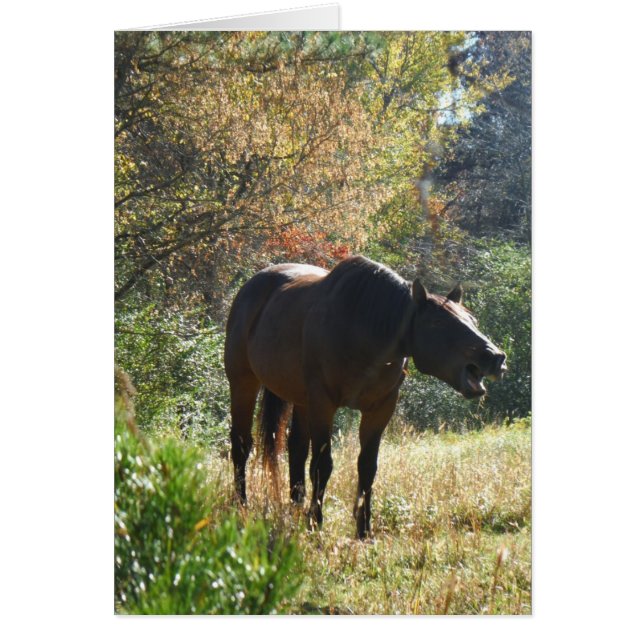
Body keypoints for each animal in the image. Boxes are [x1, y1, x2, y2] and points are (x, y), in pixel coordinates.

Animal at [224, 255, 506, 539]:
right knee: (242, 445)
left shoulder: (380, 408)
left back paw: (295, 508)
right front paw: (315, 524)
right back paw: (241, 506)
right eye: (438, 323)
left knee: (296, 449)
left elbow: (367, 467)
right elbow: (322, 465)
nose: (495, 357)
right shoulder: (323, 404)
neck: (362, 329)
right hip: (244, 383)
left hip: (302, 400)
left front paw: (364, 530)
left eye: (472, 320)